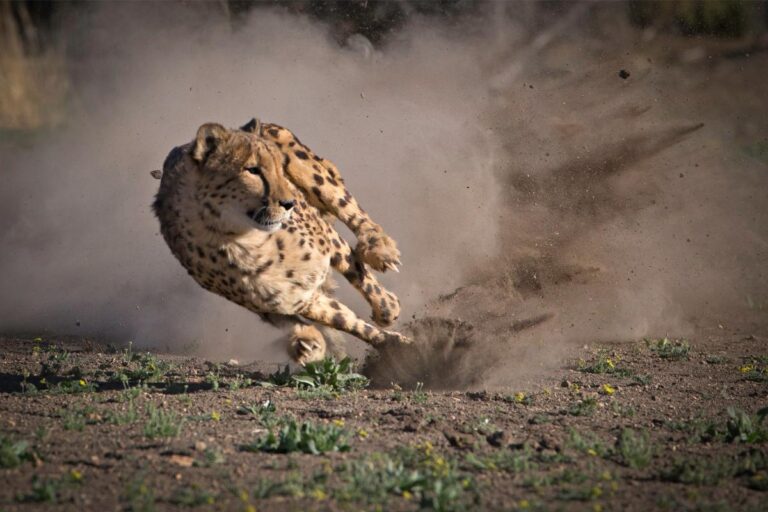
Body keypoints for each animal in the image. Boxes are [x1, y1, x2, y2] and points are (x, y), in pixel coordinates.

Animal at [149, 119, 408, 364]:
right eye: (252, 169)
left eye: (277, 167)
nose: (289, 202)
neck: (244, 240)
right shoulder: (293, 299)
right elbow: (344, 319)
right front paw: (395, 348)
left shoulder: (323, 239)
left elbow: (356, 271)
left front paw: (388, 309)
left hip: (309, 170)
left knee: (350, 210)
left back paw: (379, 250)